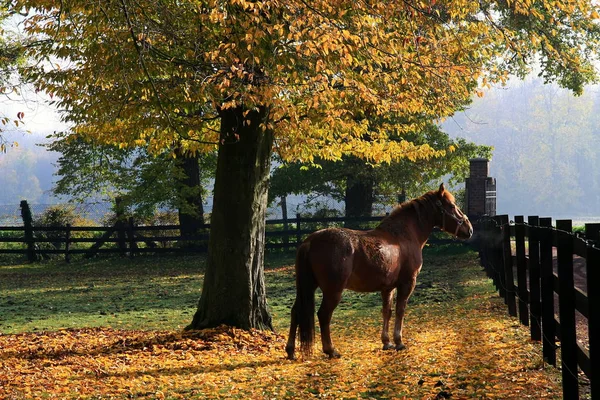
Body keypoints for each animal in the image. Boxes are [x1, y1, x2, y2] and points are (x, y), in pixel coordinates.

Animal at [286, 184, 474, 360]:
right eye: (451, 205)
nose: (469, 229)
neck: (402, 236)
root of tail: (310, 241)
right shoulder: (407, 283)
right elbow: (400, 310)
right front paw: (399, 342)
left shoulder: (387, 288)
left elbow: (387, 311)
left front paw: (386, 342)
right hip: (333, 291)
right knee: (323, 315)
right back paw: (331, 350)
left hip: (307, 286)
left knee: (296, 312)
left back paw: (290, 351)